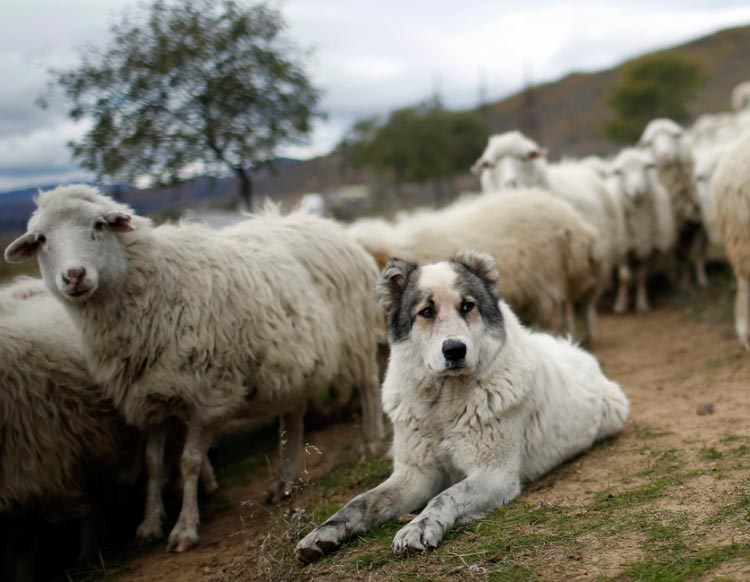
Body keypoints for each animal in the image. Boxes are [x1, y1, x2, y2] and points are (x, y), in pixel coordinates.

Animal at [4, 184, 385, 553]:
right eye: (41, 239)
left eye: (99, 224)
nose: (73, 276)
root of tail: (320, 223)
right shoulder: (150, 398)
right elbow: (154, 464)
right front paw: (149, 525)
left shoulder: (209, 394)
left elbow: (188, 461)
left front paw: (184, 529)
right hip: (294, 364)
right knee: (293, 415)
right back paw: (286, 480)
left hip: (356, 333)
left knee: (368, 385)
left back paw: (371, 441)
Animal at [607, 148, 676, 314]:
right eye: (621, 172)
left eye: (645, 168)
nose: (637, 190)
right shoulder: (622, 249)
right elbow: (624, 278)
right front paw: (620, 305)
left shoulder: (647, 249)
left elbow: (641, 278)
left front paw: (642, 304)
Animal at [639, 118, 708, 288]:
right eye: (651, 142)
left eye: (673, 136)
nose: (665, 155)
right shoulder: (676, 229)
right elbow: (681, 255)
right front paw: (684, 281)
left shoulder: (699, 222)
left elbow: (698, 252)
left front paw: (702, 279)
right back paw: (674, 275)